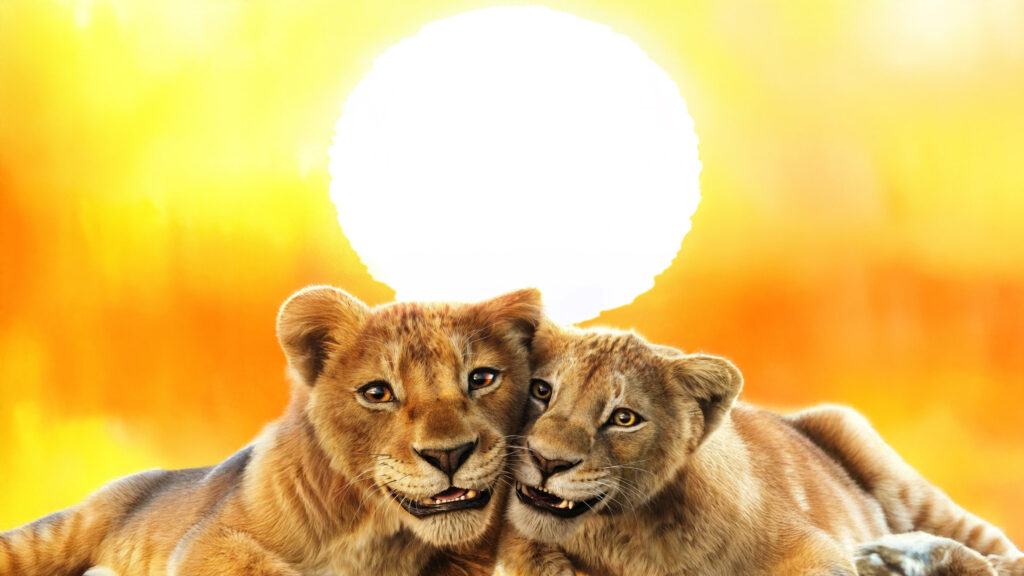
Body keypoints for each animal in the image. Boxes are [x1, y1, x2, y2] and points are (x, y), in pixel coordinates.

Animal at [498, 323, 1024, 576]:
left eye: (624, 418)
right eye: (542, 391)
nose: (547, 461)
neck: (627, 536)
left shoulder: (811, 547)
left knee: (997, 553)